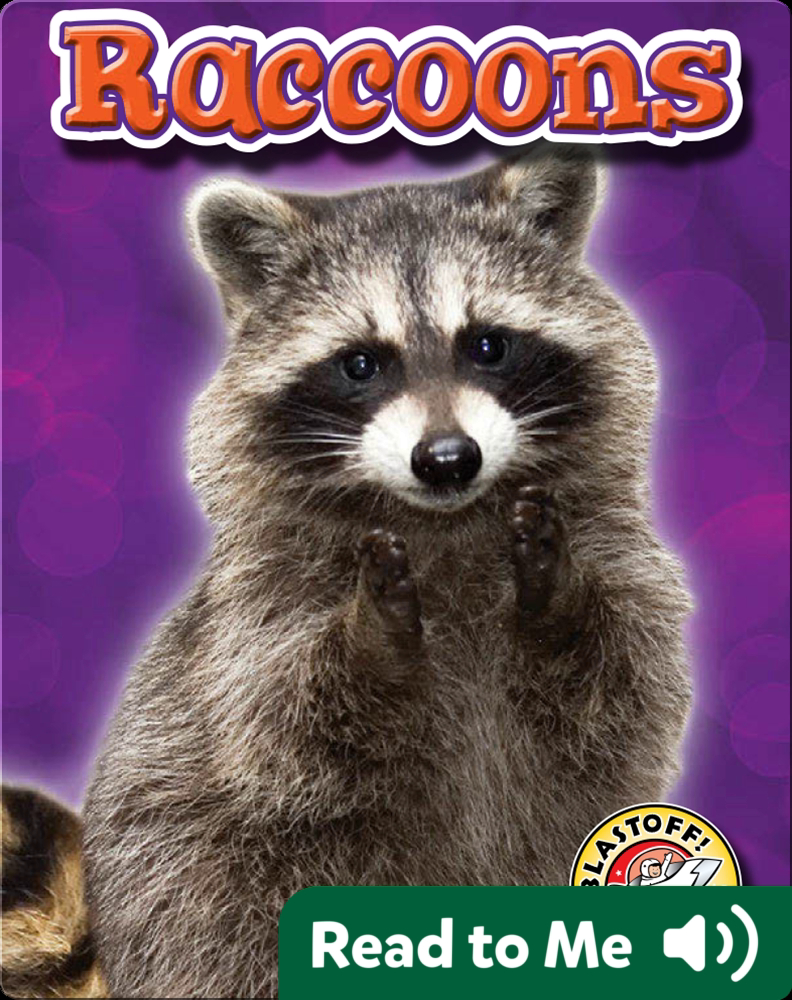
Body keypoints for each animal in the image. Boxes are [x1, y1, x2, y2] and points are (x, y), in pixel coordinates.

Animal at [5, 145, 692, 999]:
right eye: (361, 364)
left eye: (487, 345)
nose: (447, 459)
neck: (445, 523)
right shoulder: (257, 612)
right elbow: (289, 724)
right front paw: (372, 634)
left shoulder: (618, 552)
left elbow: (621, 677)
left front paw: (556, 594)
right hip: (200, 894)